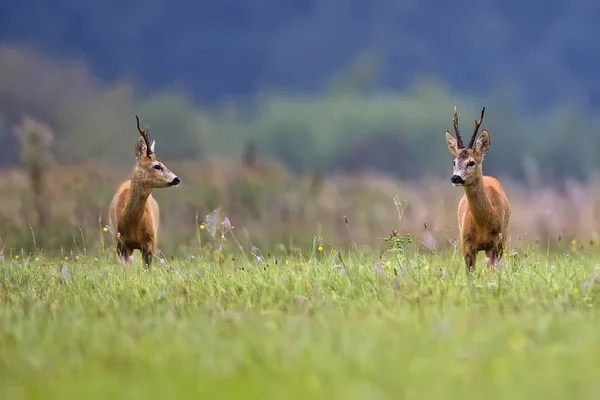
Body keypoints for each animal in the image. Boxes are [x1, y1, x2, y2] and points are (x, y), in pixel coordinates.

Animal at [446, 105, 510, 276]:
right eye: (454, 161)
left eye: (471, 162)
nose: (455, 178)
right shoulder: (466, 243)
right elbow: (470, 274)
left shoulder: (494, 244)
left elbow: (490, 273)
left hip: (504, 239)